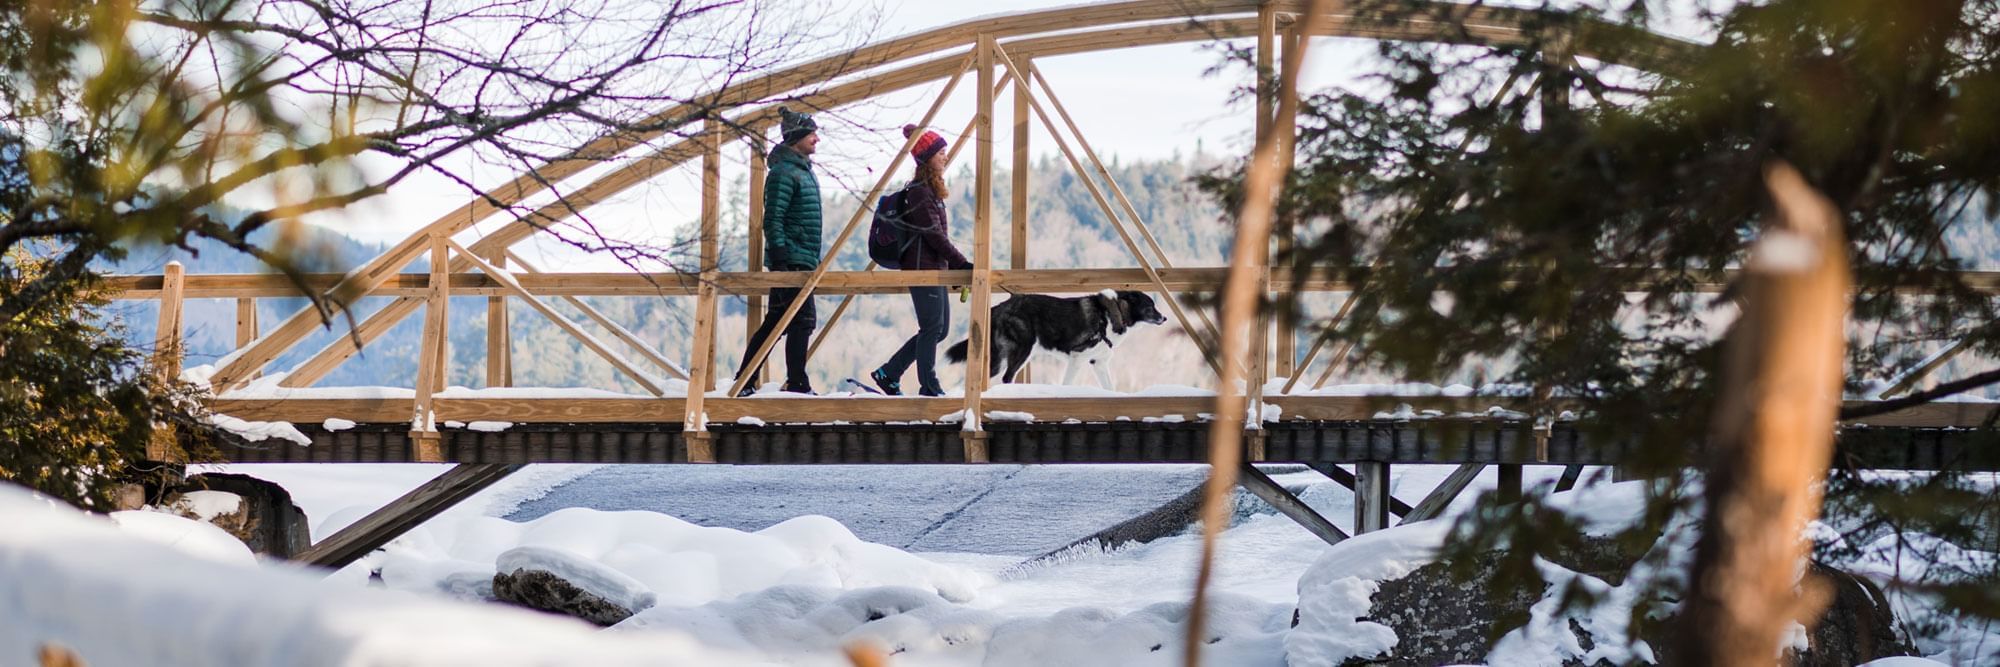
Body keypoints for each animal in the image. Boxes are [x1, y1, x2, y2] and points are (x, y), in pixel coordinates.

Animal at [948, 289, 1168, 387]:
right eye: (1150, 306)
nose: (1164, 318)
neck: (1112, 314)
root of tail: (1001, 306)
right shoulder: (1077, 358)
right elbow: (1067, 385)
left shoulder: (1099, 363)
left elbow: (1110, 389)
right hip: (1022, 350)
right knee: (1006, 378)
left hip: (1002, 358)